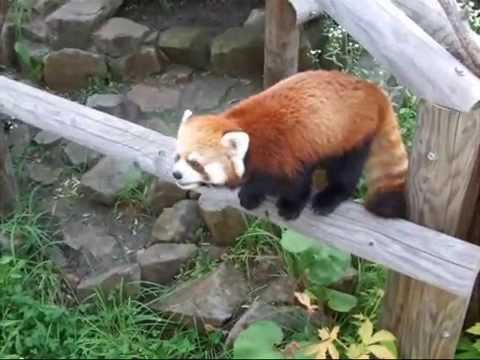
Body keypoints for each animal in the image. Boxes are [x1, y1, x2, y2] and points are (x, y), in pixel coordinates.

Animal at [172, 68, 408, 219]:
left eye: (195, 163)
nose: (176, 174)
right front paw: (251, 194)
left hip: (351, 135)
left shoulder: (287, 153)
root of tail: (372, 90)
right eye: (178, 156)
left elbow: (297, 183)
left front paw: (290, 206)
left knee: (345, 170)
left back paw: (330, 197)